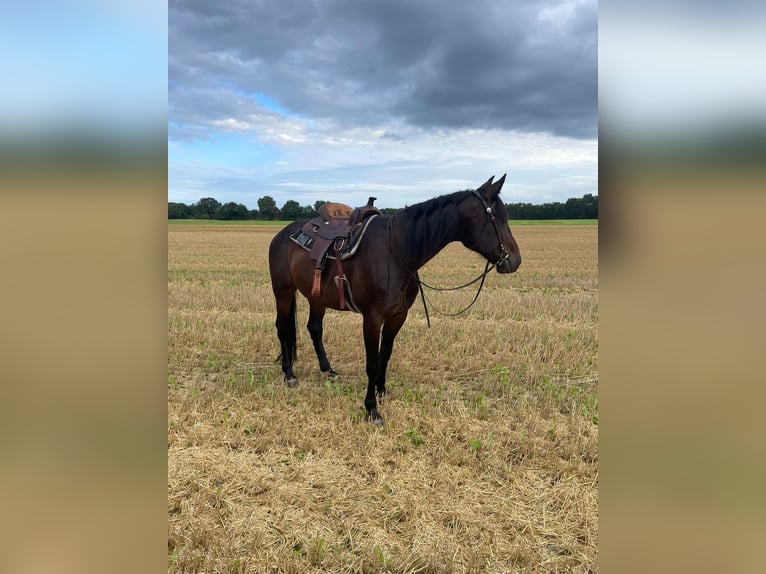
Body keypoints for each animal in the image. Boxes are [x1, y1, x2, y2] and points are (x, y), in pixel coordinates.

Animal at [268, 174, 524, 424]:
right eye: (498, 218)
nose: (515, 260)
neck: (396, 252)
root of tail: (283, 234)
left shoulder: (398, 316)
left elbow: (385, 355)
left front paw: (381, 391)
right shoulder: (372, 319)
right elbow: (372, 363)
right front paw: (371, 409)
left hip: (317, 298)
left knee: (314, 328)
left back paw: (328, 370)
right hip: (283, 292)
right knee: (282, 328)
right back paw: (289, 374)